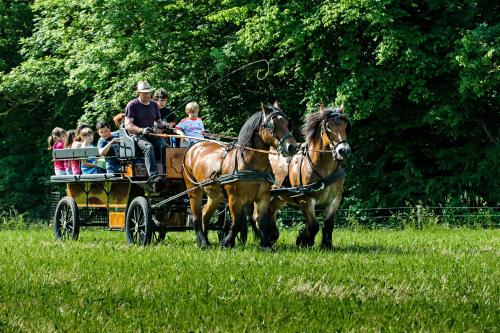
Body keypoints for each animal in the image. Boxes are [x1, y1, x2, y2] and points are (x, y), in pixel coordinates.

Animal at [183, 102, 296, 248]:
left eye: (287, 123)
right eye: (273, 124)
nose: (292, 147)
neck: (251, 164)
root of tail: (194, 146)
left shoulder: (263, 196)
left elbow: (262, 221)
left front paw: (266, 245)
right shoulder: (234, 198)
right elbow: (236, 222)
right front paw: (226, 242)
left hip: (214, 196)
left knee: (204, 214)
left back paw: (204, 241)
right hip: (193, 190)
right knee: (196, 216)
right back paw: (203, 242)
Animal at [270, 104, 352, 246]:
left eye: (345, 125)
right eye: (328, 126)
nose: (344, 150)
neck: (324, 168)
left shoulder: (335, 199)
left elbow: (328, 224)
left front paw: (326, 245)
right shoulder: (305, 200)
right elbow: (313, 225)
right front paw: (304, 241)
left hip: (277, 197)